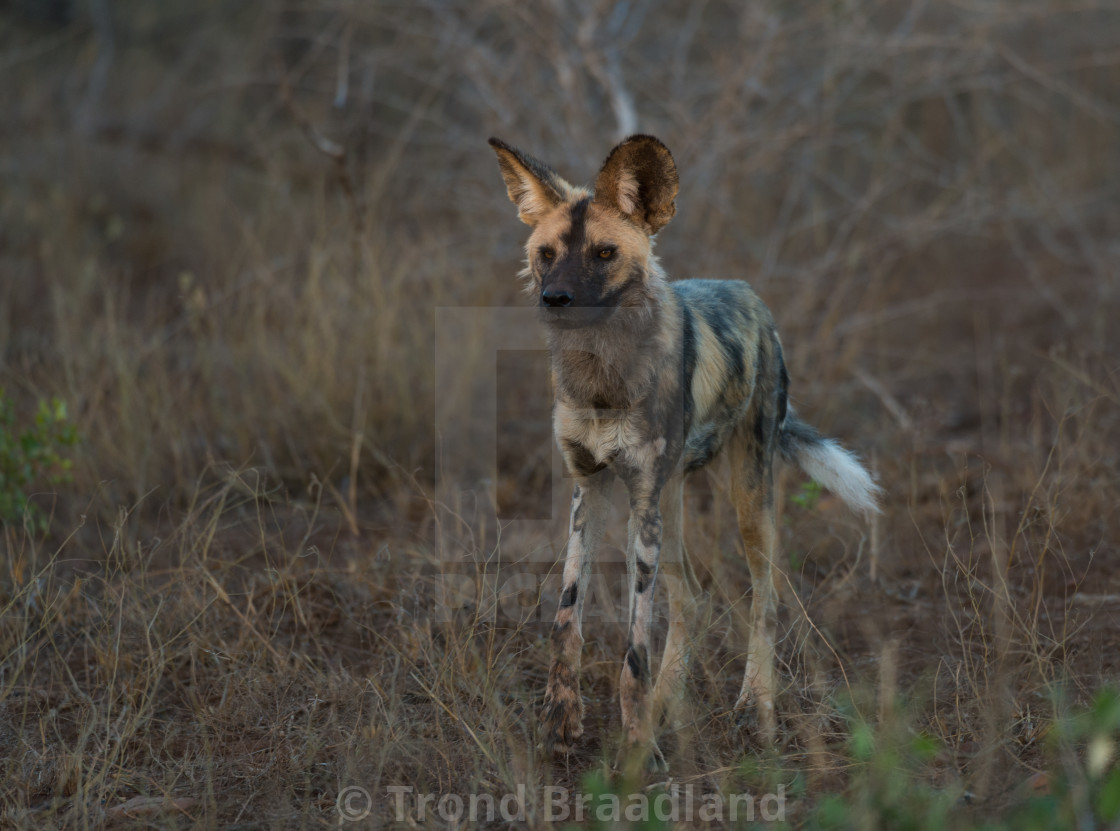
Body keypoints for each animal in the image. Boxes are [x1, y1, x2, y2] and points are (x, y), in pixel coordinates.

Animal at [490, 134, 882, 766]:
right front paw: (563, 724)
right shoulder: (590, 490)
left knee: (766, 598)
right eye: (546, 253)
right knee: (693, 600)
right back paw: (667, 706)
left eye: (604, 253)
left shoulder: (640, 503)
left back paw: (754, 707)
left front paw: (634, 748)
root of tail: (748, 294)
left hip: (744, 498)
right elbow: (567, 619)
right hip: (664, 508)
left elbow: (633, 648)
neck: (602, 377)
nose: (555, 299)